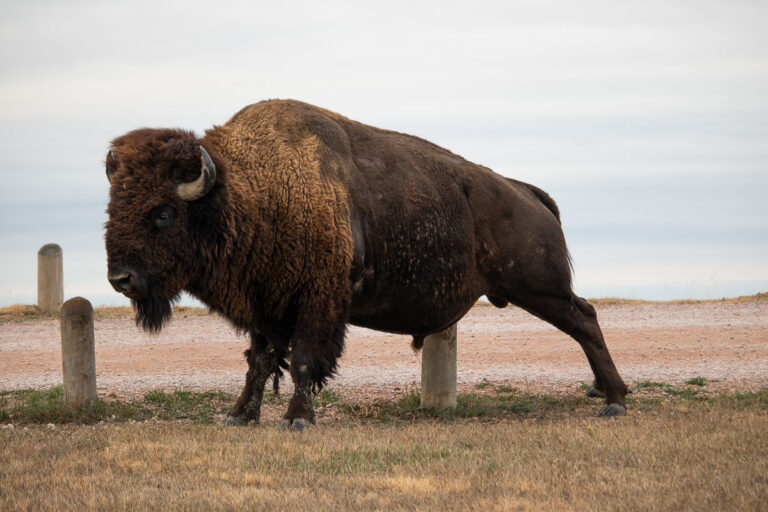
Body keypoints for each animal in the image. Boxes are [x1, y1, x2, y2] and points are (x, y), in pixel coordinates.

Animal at [105, 99, 628, 428]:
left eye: (164, 213)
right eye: (113, 205)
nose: (120, 278)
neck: (249, 191)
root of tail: (526, 192)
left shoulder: (317, 304)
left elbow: (303, 361)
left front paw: (297, 420)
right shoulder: (267, 308)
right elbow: (259, 363)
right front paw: (237, 416)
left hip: (540, 288)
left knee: (586, 321)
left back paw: (615, 400)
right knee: (585, 321)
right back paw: (605, 394)